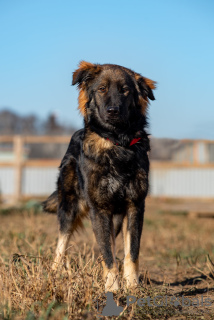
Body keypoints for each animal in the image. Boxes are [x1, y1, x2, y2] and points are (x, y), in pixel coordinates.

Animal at [43, 61, 155, 292]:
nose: (113, 111)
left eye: (125, 90)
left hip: (116, 218)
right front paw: (112, 288)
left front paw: (132, 287)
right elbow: (107, 254)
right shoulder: (99, 209)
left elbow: (132, 252)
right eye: (102, 89)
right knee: (61, 243)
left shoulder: (135, 206)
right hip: (69, 207)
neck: (117, 142)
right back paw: (55, 274)